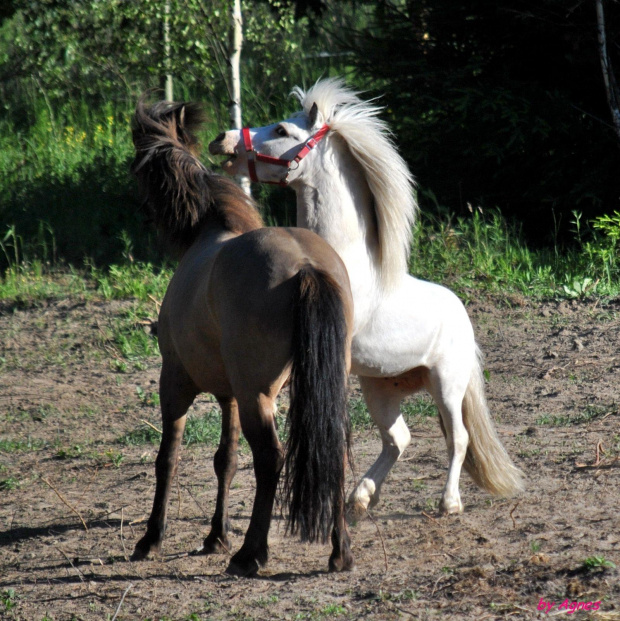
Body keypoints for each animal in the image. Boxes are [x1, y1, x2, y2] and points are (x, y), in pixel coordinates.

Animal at [130, 99, 354, 572]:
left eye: (139, 166)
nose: (142, 213)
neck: (208, 231)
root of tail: (306, 265)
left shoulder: (174, 383)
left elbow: (168, 458)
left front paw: (152, 537)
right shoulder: (228, 394)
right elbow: (226, 460)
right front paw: (216, 535)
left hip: (257, 396)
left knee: (271, 458)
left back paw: (251, 554)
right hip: (318, 387)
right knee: (335, 451)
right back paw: (339, 551)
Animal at [209, 77, 524, 516]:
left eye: (282, 130)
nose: (221, 139)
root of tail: (460, 310)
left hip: (447, 383)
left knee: (457, 437)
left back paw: (448, 502)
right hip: (381, 388)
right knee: (398, 439)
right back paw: (359, 498)